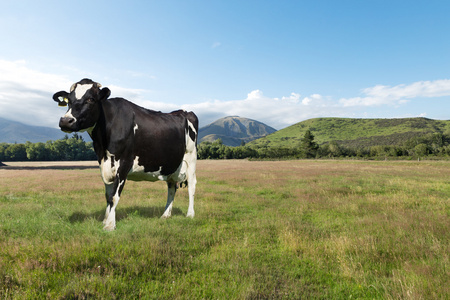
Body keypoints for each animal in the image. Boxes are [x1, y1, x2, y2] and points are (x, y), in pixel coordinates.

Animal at [51, 78, 198, 231]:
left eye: (90, 99)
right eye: (69, 100)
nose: (66, 121)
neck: (103, 143)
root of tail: (182, 111)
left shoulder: (124, 164)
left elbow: (114, 196)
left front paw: (110, 225)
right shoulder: (104, 164)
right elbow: (108, 195)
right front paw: (105, 220)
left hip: (191, 157)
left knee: (192, 185)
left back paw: (190, 214)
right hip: (171, 164)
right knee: (171, 186)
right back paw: (165, 215)